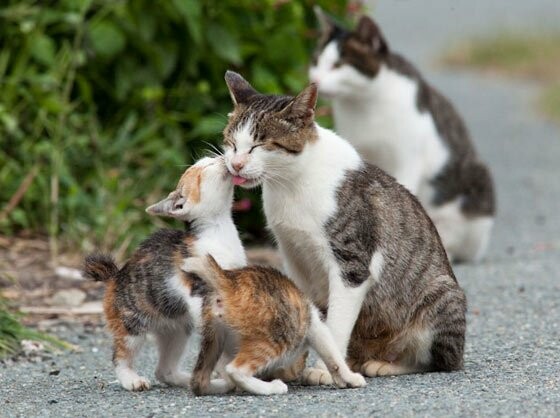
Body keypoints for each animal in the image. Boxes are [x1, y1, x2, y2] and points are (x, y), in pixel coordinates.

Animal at [179, 255, 366, 396]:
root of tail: (229, 279)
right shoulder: (313, 322)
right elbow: (332, 353)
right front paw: (350, 378)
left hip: (212, 337)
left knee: (199, 381)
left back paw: (224, 385)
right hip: (279, 334)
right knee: (236, 370)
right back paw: (272, 387)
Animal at [221, 70, 466, 384]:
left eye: (259, 145)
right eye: (231, 142)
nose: (236, 164)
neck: (291, 184)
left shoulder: (351, 265)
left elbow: (336, 324)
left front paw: (327, 370)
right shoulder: (294, 255)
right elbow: (301, 309)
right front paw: (290, 365)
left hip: (441, 298)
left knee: (437, 361)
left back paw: (387, 364)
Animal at [308, 8, 496, 262]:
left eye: (338, 65)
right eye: (316, 61)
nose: (315, 79)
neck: (363, 105)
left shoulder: (409, 157)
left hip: (476, 185)